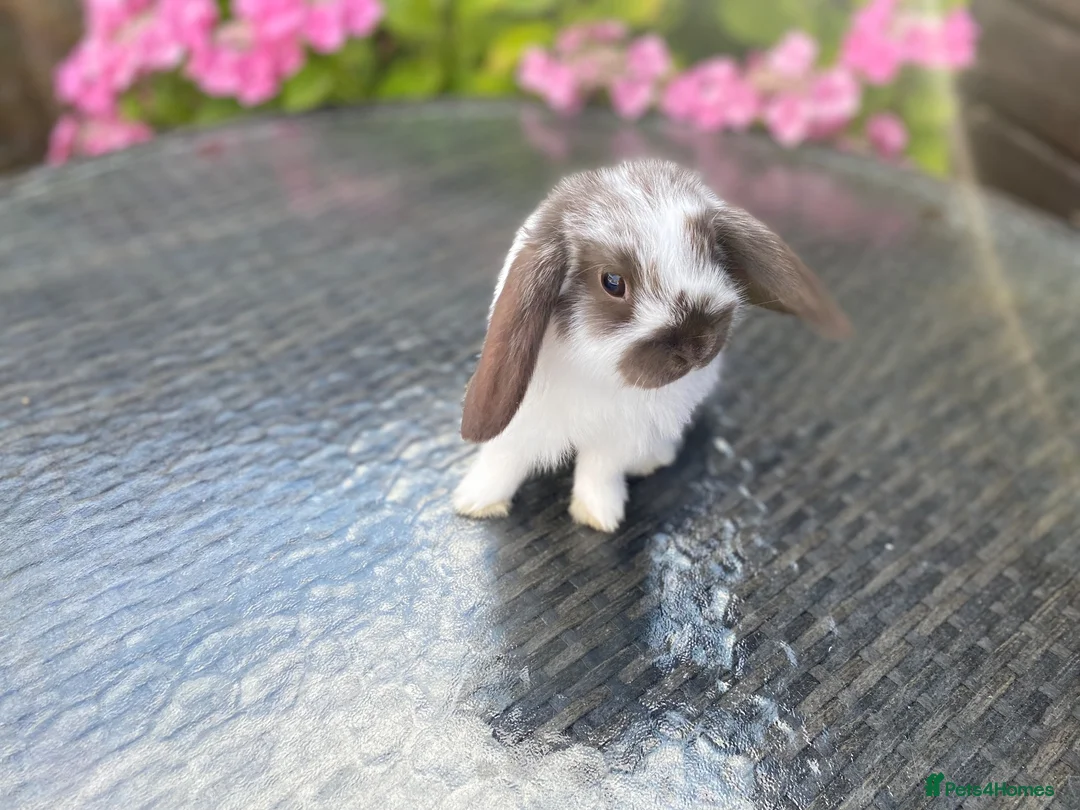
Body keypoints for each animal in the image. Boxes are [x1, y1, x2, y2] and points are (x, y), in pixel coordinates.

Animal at [453, 158, 851, 533]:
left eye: (713, 253)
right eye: (612, 282)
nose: (698, 346)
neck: (597, 371)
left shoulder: (618, 438)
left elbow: (599, 473)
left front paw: (599, 516)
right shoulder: (523, 424)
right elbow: (503, 462)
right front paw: (476, 503)